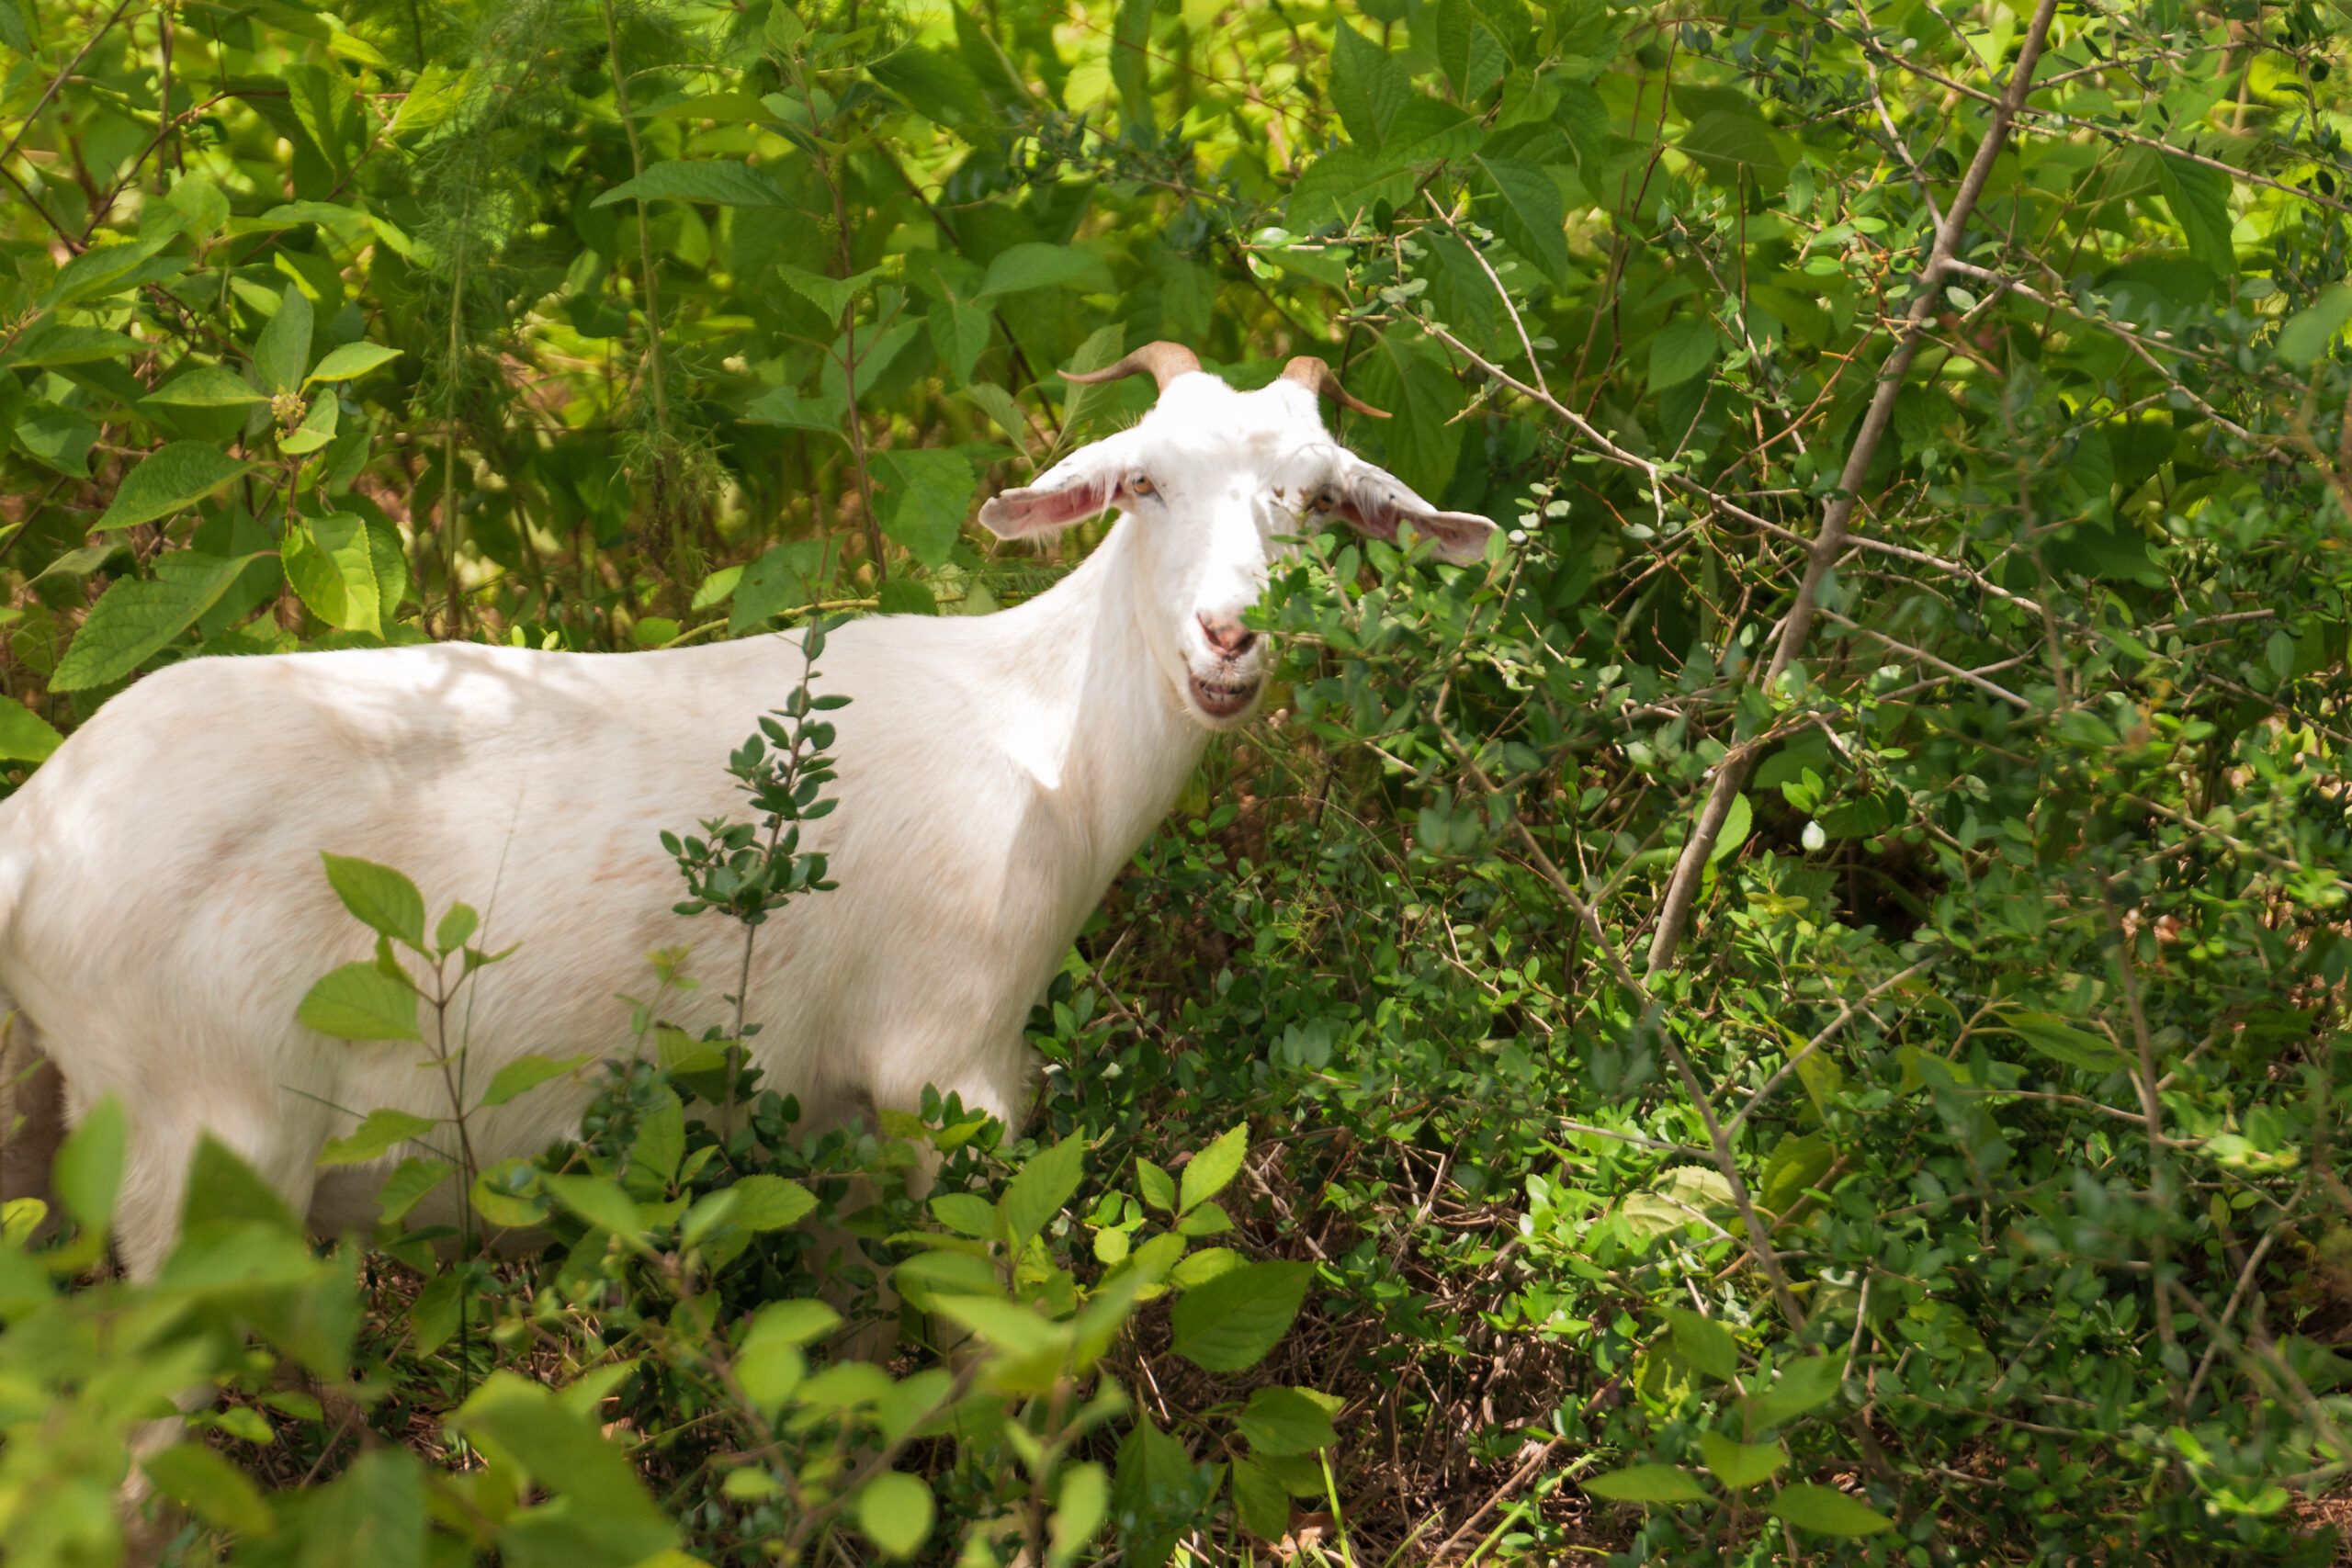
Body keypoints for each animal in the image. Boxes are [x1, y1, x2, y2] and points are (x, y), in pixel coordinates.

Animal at [0, 343, 1495, 1275]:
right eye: (1142, 483)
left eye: (1314, 500)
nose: (1230, 637)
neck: (1038, 740)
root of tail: (34, 830)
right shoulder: (946, 1065)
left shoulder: (828, 1118)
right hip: (204, 1141)